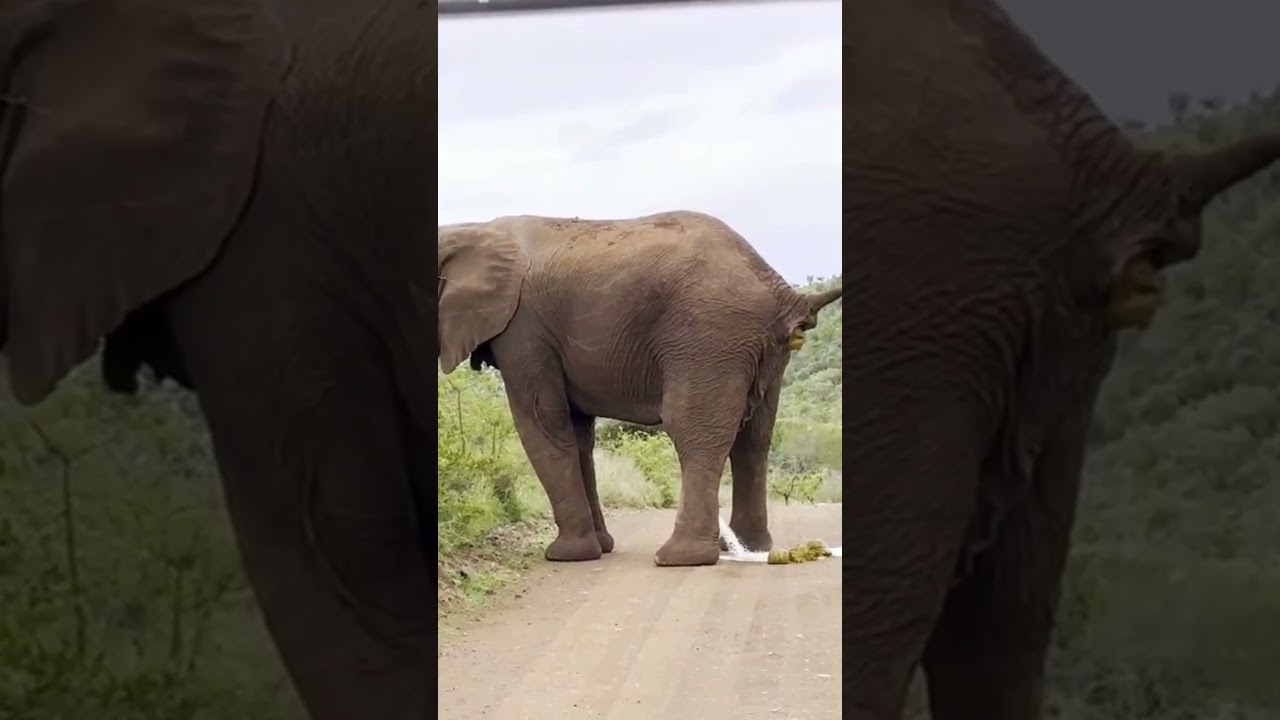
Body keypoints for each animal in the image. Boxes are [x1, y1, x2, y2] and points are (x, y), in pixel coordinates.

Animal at [437, 211, 842, 566]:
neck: (472, 228)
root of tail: (783, 294)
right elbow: (578, 434)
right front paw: (600, 547)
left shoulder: (524, 328)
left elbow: (542, 425)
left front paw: (567, 555)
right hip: (763, 353)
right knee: (754, 439)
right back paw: (751, 549)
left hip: (709, 336)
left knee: (694, 431)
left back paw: (680, 558)